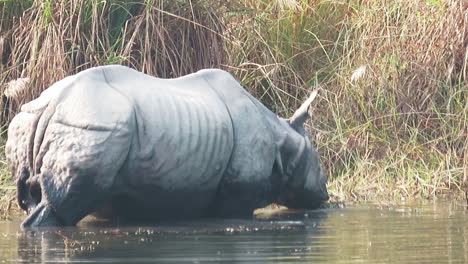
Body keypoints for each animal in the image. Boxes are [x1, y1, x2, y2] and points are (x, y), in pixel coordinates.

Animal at [6, 65, 330, 227]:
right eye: (320, 167)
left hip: (30, 120)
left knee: (33, 196)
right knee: (62, 206)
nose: (324, 197)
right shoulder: (237, 194)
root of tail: (52, 103)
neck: (284, 138)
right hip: (92, 122)